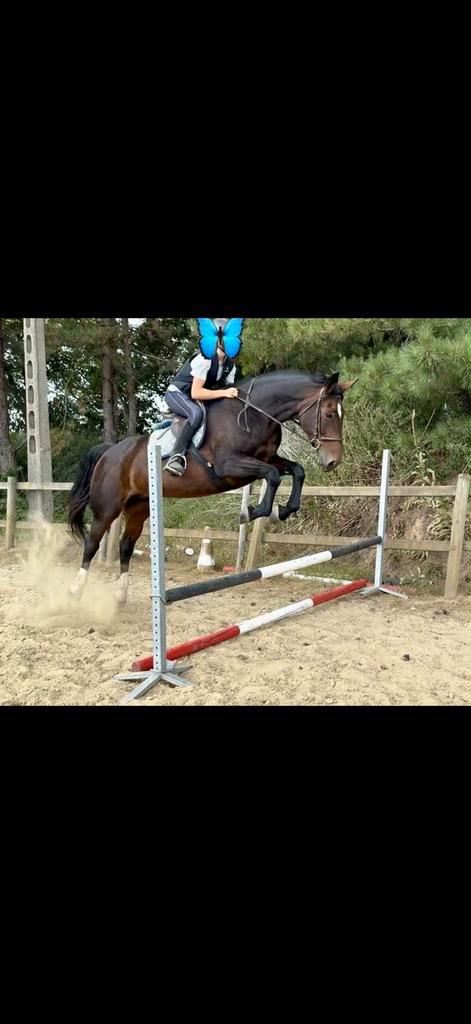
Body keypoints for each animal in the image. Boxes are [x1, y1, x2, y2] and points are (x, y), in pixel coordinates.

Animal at [68, 368, 354, 603]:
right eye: (329, 414)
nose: (333, 461)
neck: (253, 414)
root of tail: (109, 452)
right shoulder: (229, 467)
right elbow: (272, 476)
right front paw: (253, 512)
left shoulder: (267, 458)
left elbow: (296, 471)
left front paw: (282, 511)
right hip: (108, 508)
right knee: (92, 543)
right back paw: (76, 591)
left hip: (139, 507)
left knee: (126, 546)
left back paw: (121, 594)